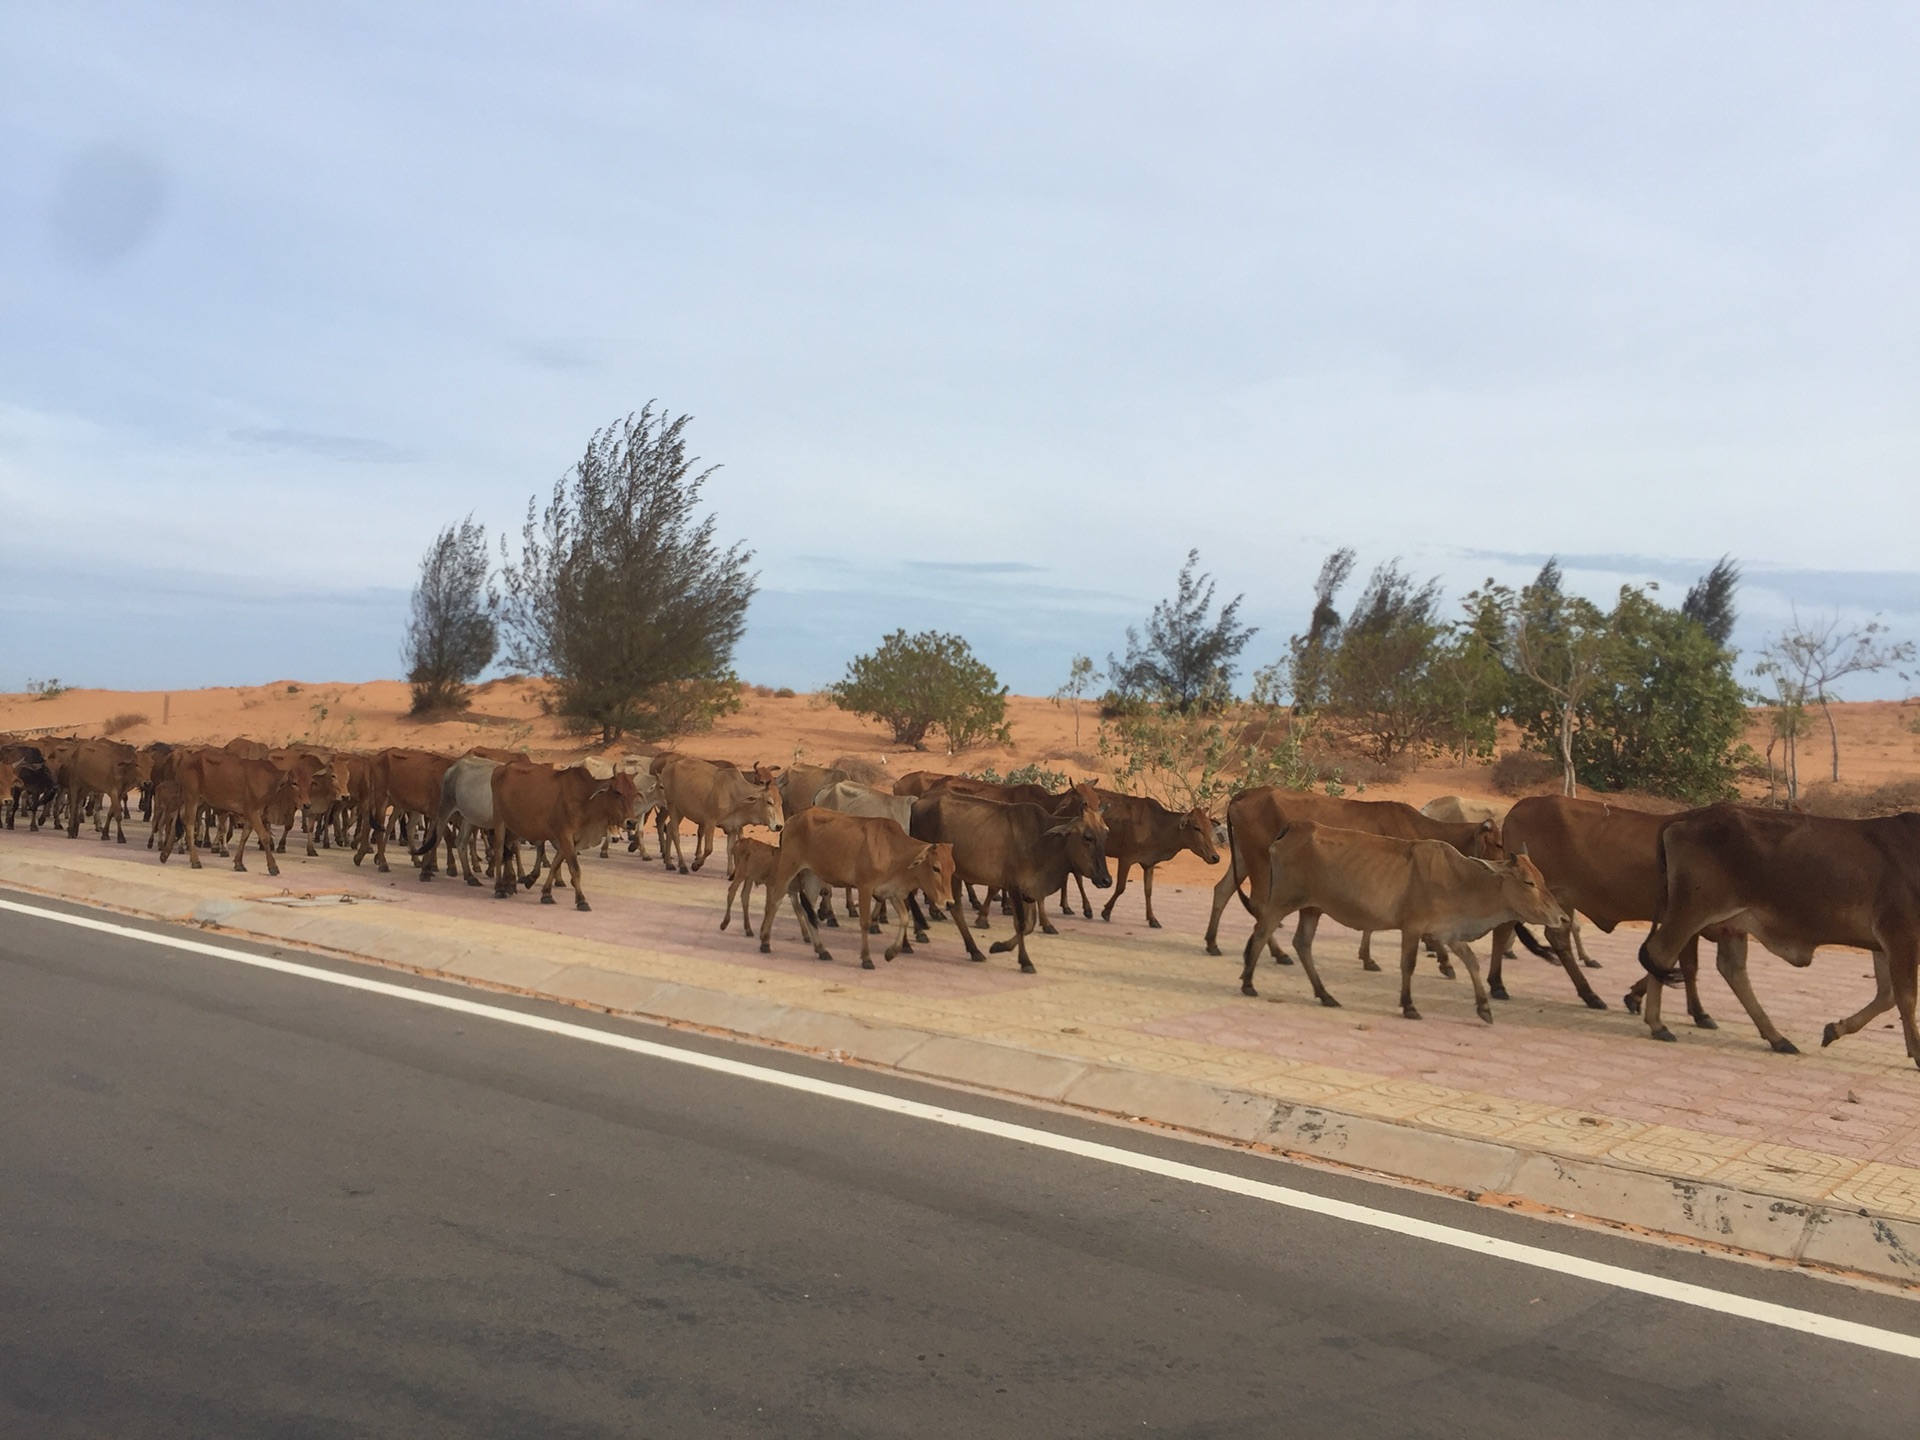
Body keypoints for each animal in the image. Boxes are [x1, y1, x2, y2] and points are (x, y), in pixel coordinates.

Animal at [756, 814, 952, 971]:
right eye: (936, 868)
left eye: (953, 869)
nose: (949, 902)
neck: (893, 851)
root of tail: (793, 819)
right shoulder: (865, 888)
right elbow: (865, 923)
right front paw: (867, 959)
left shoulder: (893, 893)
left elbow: (904, 919)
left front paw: (891, 953)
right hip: (788, 868)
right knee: (775, 901)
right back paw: (765, 941)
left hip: (813, 876)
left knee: (807, 910)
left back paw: (822, 949)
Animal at [1244, 829, 1574, 1021]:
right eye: (1529, 882)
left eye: (1543, 879)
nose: (1563, 918)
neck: (1461, 881)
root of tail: (1286, 835)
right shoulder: (1413, 928)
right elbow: (1409, 965)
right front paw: (1409, 1005)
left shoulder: (1449, 933)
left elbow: (1471, 963)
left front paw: (1484, 1007)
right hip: (1283, 901)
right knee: (1261, 933)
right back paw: (1248, 983)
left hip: (1312, 908)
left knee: (1302, 944)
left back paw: (1325, 995)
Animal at [1635, 806, 1920, 1067]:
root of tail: (1689, 814)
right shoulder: (1901, 935)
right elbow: (1906, 998)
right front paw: (1917, 1053)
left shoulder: (1883, 944)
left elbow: (1887, 996)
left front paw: (1834, 1029)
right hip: (1692, 910)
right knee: (1661, 953)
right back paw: (1658, 1024)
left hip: (1730, 922)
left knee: (1731, 969)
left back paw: (1777, 1038)